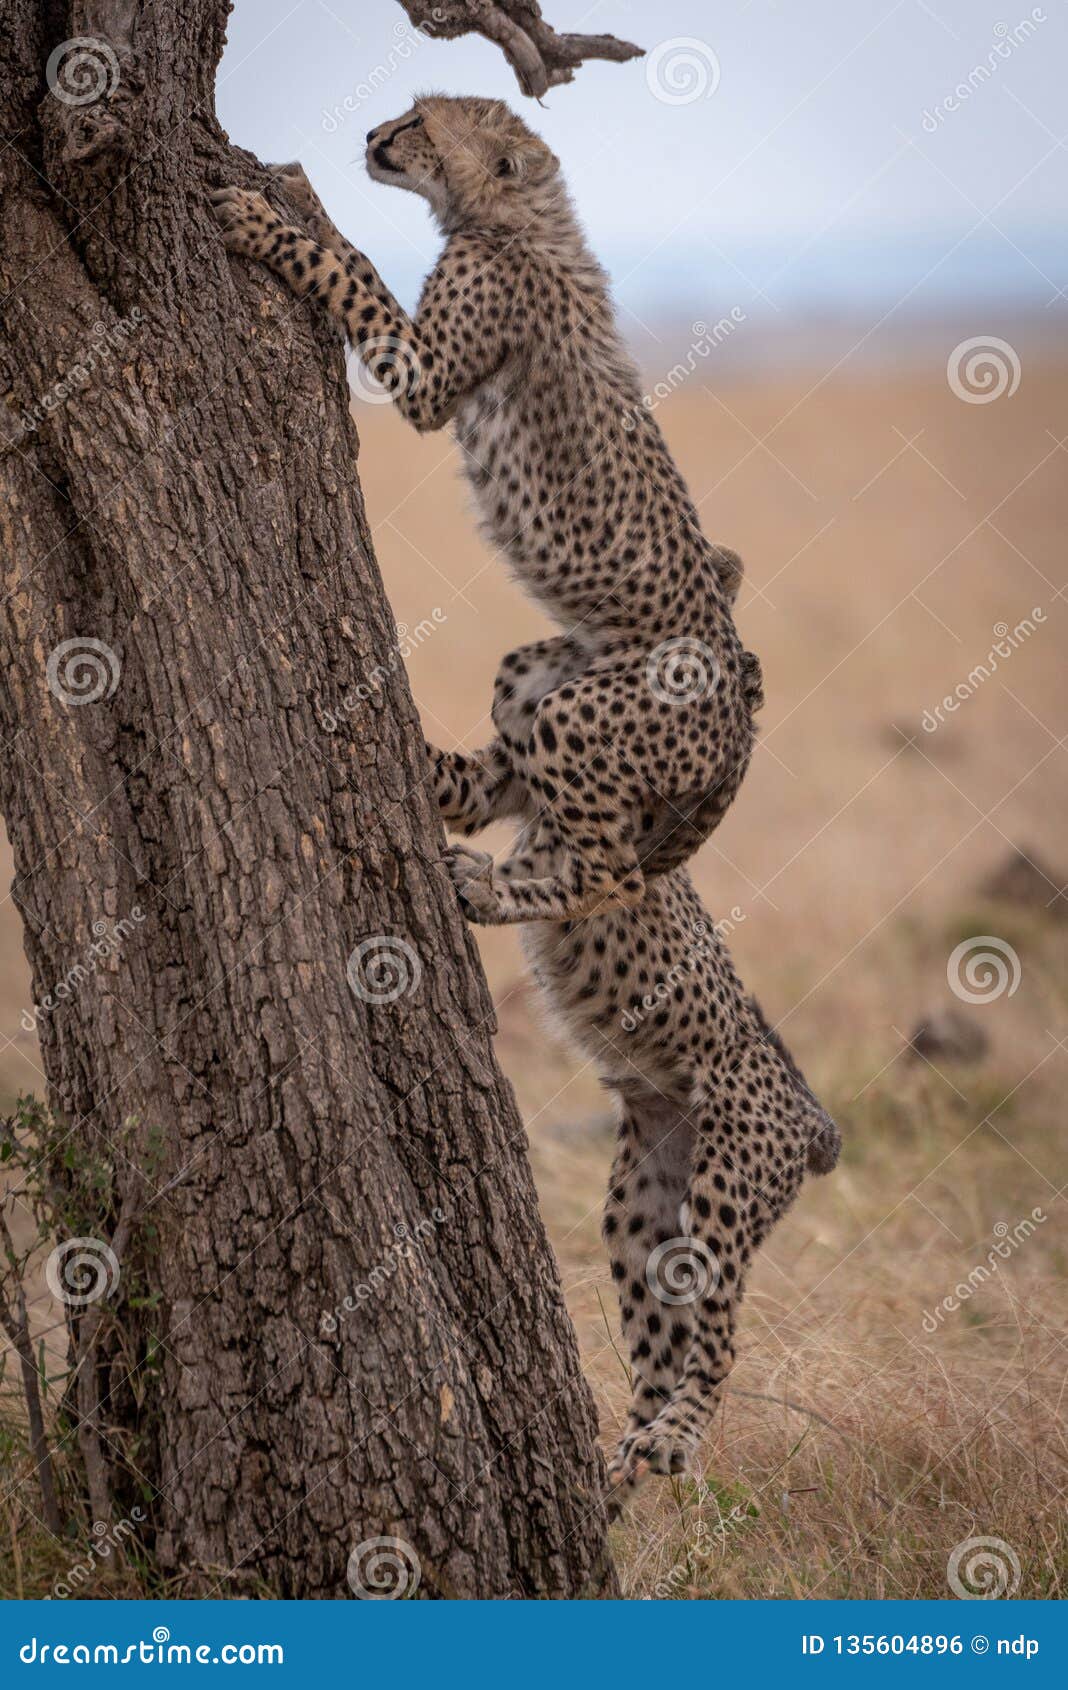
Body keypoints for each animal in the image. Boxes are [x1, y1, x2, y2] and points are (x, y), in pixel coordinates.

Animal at [210, 93, 763, 926]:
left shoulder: (429, 378)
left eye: (421, 124)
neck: (513, 214)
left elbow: (352, 278)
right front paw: (302, 198)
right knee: (492, 790)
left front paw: (264, 224)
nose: (372, 135)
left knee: (615, 878)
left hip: (584, 716)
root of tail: (740, 702)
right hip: (532, 681)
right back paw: (422, 764)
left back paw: (492, 890)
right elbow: (357, 259)